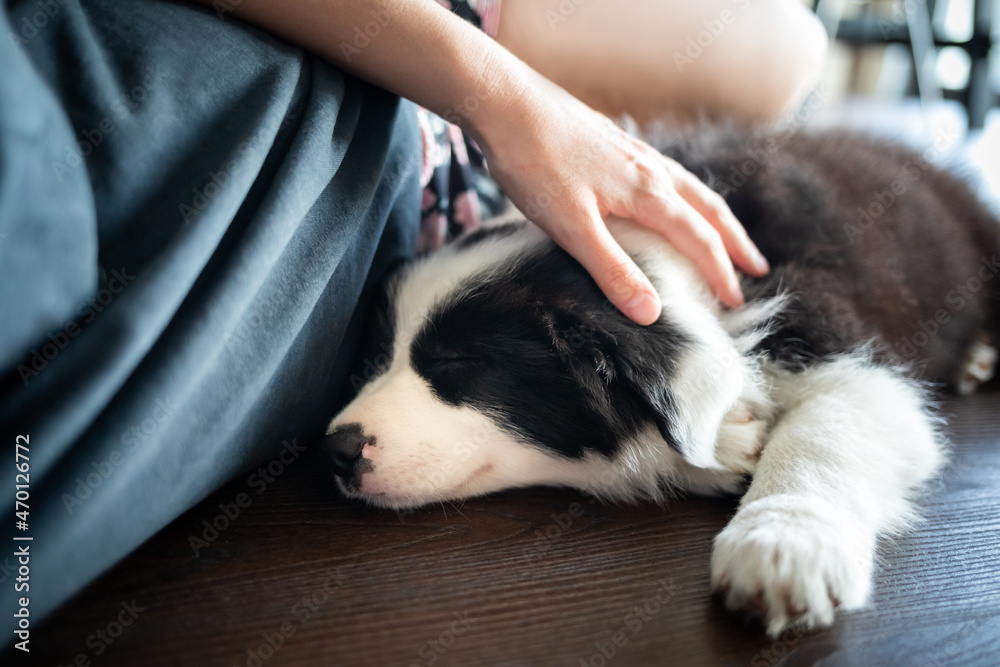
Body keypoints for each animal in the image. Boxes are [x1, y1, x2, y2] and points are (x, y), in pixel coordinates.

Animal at [324, 126, 996, 636]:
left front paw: (784, 544)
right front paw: (722, 443)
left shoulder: (835, 332)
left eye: (455, 364)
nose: (337, 449)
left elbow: (829, 428)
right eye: (379, 356)